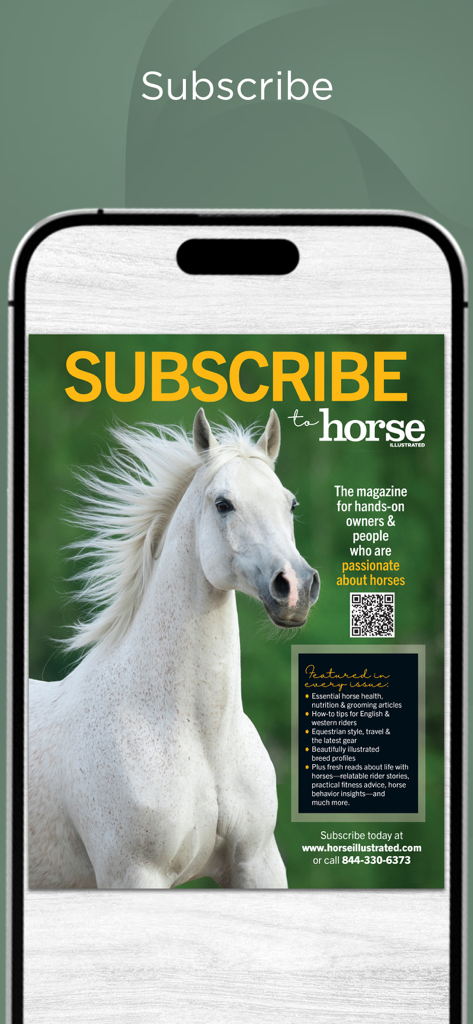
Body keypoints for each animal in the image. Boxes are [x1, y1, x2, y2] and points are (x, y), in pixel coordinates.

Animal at [29, 409, 320, 889]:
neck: (200, 739)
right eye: (223, 504)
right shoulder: (135, 873)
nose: (295, 588)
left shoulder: (258, 862)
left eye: (290, 504)